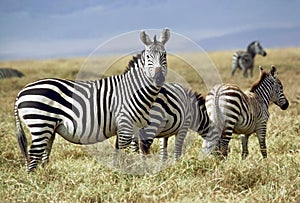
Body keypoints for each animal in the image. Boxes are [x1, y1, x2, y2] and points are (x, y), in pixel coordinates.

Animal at [15, 27, 170, 172]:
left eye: (164, 55)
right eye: (148, 57)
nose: (159, 79)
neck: (133, 90)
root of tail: (21, 92)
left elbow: (122, 151)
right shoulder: (126, 125)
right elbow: (127, 151)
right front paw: (126, 172)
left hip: (49, 128)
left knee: (44, 153)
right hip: (40, 123)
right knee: (34, 154)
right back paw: (34, 179)